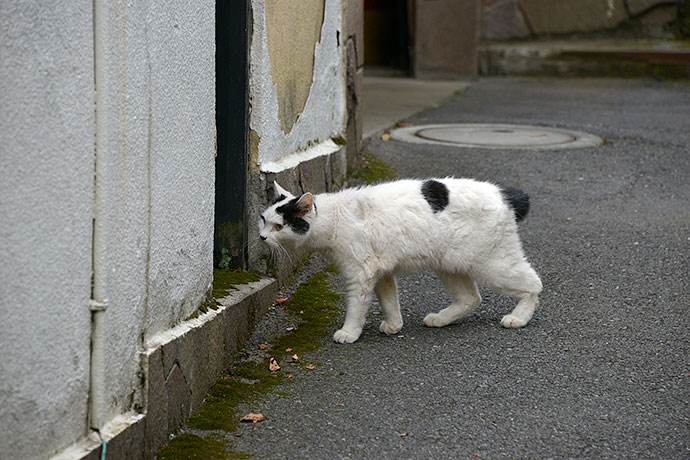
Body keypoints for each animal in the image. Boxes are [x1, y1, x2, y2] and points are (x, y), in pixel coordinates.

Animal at [255, 178, 540, 344]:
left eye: (279, 227)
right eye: (263, 219)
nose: (261, 237)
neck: (333, 217)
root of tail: (503, 193)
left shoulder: (360, 274)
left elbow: (356, 308)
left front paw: (349, 332)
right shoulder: (381, 272)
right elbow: (389, 301)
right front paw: (394, 325)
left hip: (491, 263)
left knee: (534, 284)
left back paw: (518, 318)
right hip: (450, 264)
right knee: (471, 298)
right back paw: (441, 319)